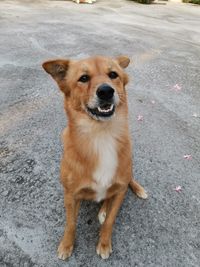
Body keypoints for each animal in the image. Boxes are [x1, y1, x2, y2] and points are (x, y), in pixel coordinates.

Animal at [41, 55, 147, 260]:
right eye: (83, 78)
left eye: (113, 74)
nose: (106, 91)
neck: (101, 136)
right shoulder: (70, 194)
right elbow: (71, 223)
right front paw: (67, 245)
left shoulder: (120, 191)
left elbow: (110, 221)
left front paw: (104, 243)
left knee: (126, 182)